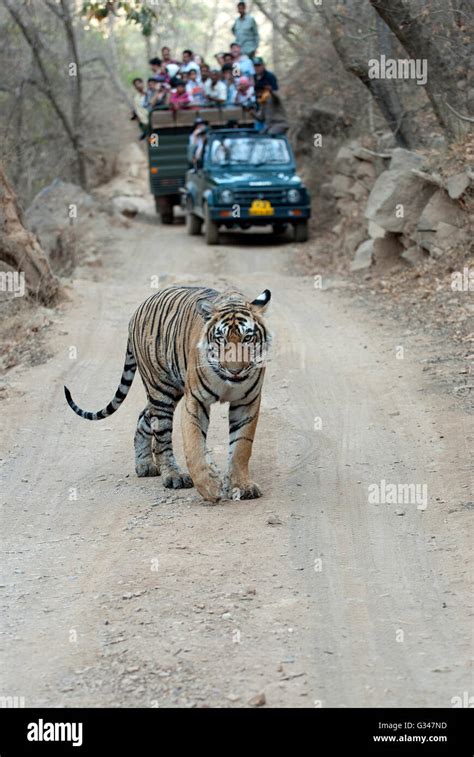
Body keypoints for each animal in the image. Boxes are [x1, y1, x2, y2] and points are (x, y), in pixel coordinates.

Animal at [64, 286, 270, 504]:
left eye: (248, 338)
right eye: (220, 339)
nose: (235, 371)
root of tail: (138, 309)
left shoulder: (247, 402)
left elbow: (241, 447)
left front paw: (242, 486)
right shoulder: (195, 400)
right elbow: (194, 446)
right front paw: (209, 487)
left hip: (170, 391)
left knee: (143, 417)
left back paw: (145, 465)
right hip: (161, 390)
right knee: (161, 437)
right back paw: (174, 476)